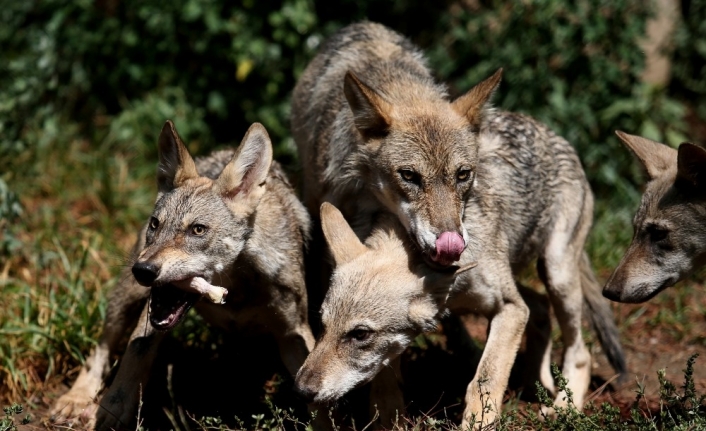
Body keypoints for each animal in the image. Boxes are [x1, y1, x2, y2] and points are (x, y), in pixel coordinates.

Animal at [288, 21, 624, 428]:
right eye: (321, 326)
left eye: (360, 334)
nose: (301, 390)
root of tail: (557, 137)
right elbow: (385, 380)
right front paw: (389, 416)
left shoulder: (509, 308)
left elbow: (484, 378)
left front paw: (478, 420)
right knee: (541, 310)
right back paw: (535, 384)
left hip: (558, 273)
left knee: (579, 350)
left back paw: (563, 406)